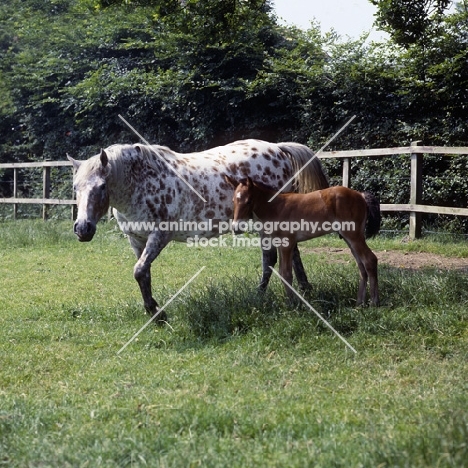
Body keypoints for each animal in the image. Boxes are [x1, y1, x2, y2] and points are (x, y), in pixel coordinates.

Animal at [68, 139, 330, 322]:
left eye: (102, 186)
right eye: (75, 187)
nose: (83, 228)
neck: (141, 183)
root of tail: (278, 149)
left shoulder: (159, 235)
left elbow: (139, 270)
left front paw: (156, 312)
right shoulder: (136, 239)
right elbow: (144, 274)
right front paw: (155, 310)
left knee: (270, 259)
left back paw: (260, 296)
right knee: (291, 253)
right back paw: (304, 289)